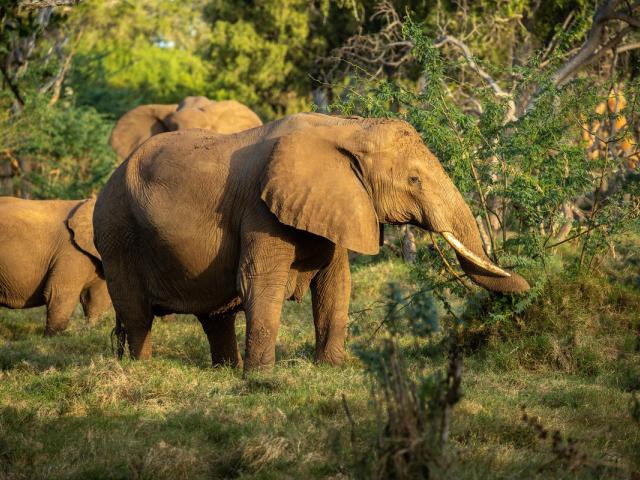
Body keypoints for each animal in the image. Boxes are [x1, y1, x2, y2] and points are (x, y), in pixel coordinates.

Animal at [93, 112, 530, 373]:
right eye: (414, 180)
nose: (527, 288)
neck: (347, 128)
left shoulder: (336, 203)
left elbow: (336, 284)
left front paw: (333, 367)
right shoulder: (260, 209)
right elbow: (259, 283)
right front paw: (262, 381)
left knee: (215, 316)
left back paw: (225, 370)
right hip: (117, 233)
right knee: (137, 315)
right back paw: (143, 368)